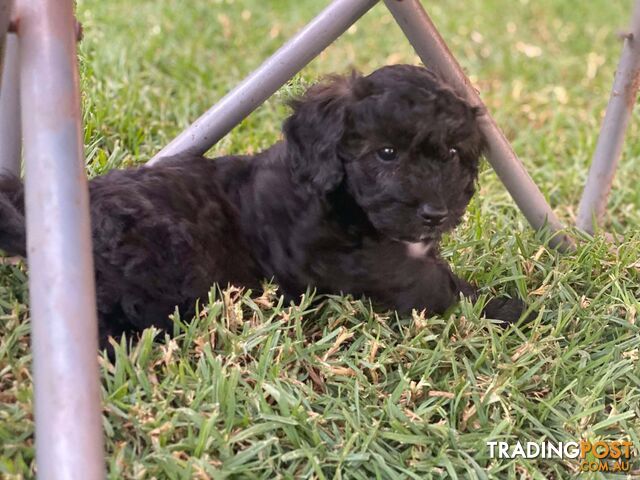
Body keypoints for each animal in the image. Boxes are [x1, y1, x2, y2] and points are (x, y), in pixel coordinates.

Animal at [0, 64, 524, 348]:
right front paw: (502, 307)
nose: (436, 213)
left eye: (452, 154)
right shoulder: (336, 256)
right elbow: (423, 279)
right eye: (387, 153)